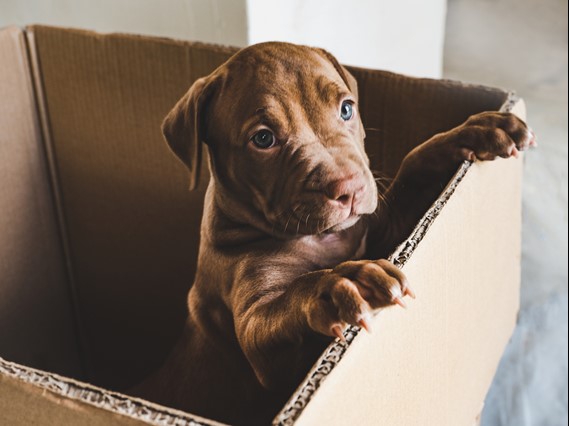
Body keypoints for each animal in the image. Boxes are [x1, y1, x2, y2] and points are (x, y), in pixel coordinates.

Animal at [133, 43, 532, 426]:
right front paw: (343, 282)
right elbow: (287, 302)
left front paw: (474, 131)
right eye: (263, 138)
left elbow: (414, 166)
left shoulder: (383, 228)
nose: (349, 188)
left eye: (346, 109)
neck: (323, 238)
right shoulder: (260, 341)